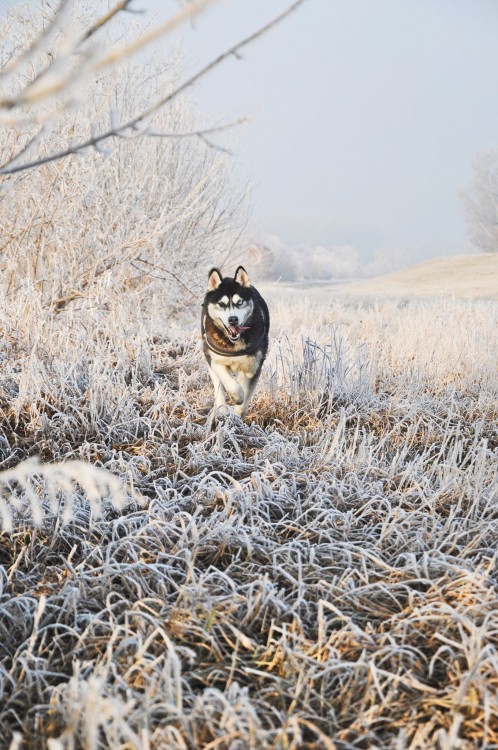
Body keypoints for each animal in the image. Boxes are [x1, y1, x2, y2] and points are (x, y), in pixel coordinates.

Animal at [202, 266, 270, 420]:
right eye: (221, 304)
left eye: (240, 302)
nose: (233, 319)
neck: (233, 344)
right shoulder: (215, 360)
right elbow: (231, 384)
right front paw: (237, 396)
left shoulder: (252, 368)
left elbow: (245, 396)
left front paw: (238, 414)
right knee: (218, 386)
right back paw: (222, 408)